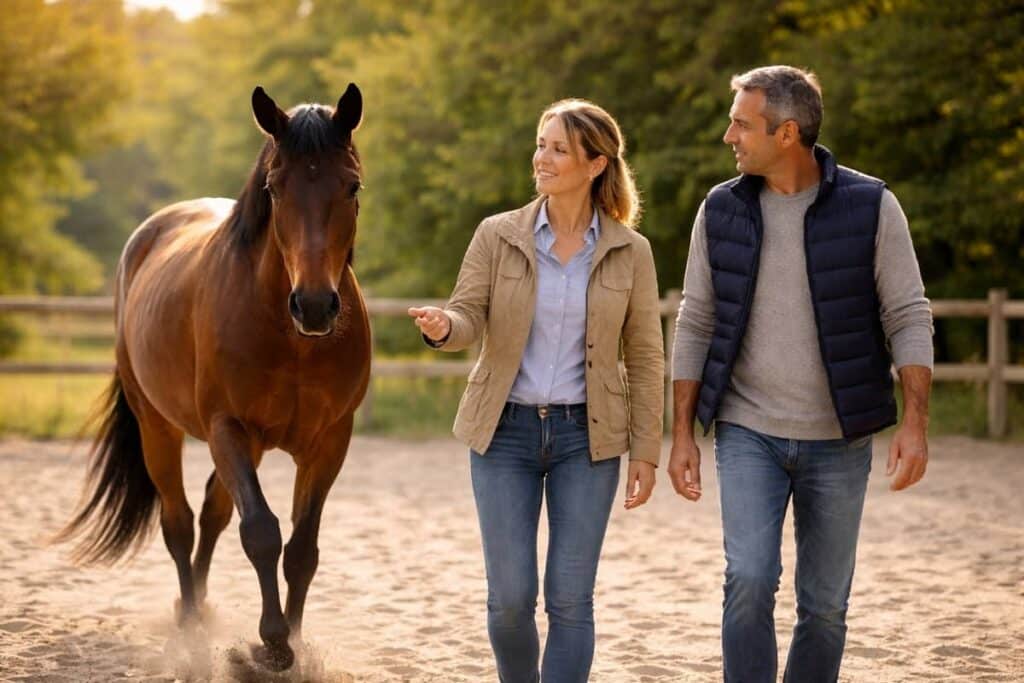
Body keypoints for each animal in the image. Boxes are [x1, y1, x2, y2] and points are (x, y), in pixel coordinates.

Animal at [57, 84, 371, 672]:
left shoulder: (329, 443)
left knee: (211, 513)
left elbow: (302, 549)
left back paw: (201, 606)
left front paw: (294, 641)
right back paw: (188, 620)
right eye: (274, 187)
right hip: (159, 428)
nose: (315, 306)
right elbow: (262, 533)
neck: (291, 337)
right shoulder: (228, 428)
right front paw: (271, 643)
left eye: (352, 185)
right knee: (179, 522)